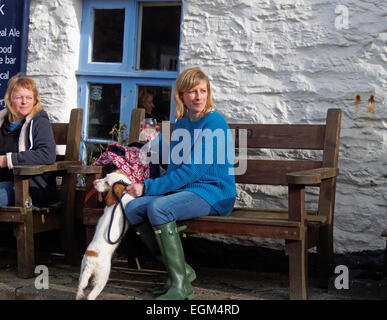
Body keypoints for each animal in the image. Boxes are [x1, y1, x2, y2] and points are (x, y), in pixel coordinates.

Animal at [75, 172, 134, 300]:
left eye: (106, 180)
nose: (93, 182)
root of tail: (90, 261)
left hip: (82, 272)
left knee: (80, 290)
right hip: (103, 277)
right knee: (91, 295)